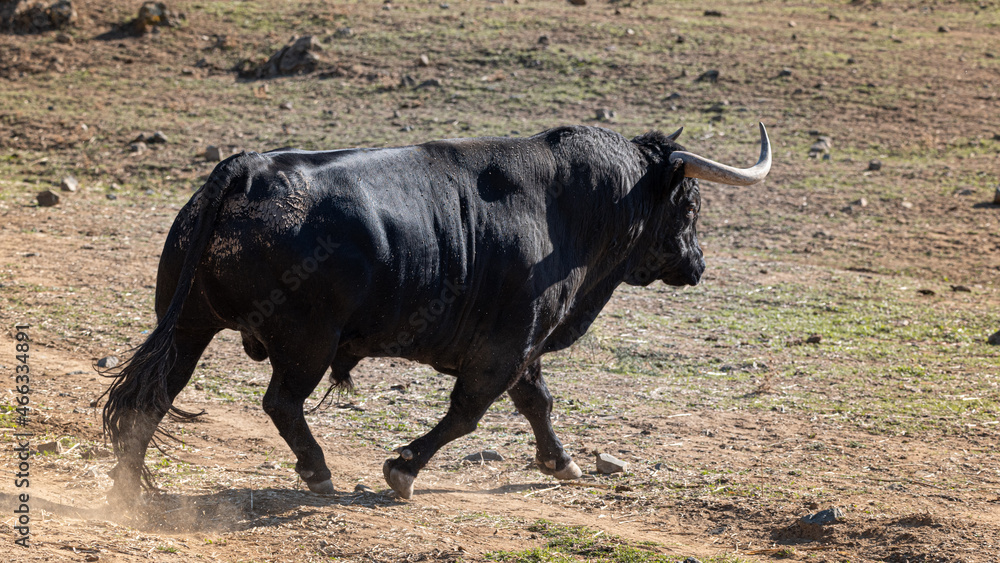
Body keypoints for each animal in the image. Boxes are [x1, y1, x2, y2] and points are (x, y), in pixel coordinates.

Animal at [101, 122, 771, 502]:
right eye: (690, 204)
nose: (698, 264)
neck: (569, 207)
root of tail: (248, 168)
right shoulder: (505, 348)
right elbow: (468, 415)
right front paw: (403, 468)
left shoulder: (523, 347)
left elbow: (537, 402)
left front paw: (561, 462)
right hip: (306, 342)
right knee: (281, 404)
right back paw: (317, 472)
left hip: (187, 325)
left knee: (152, 397)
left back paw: (129, 490)